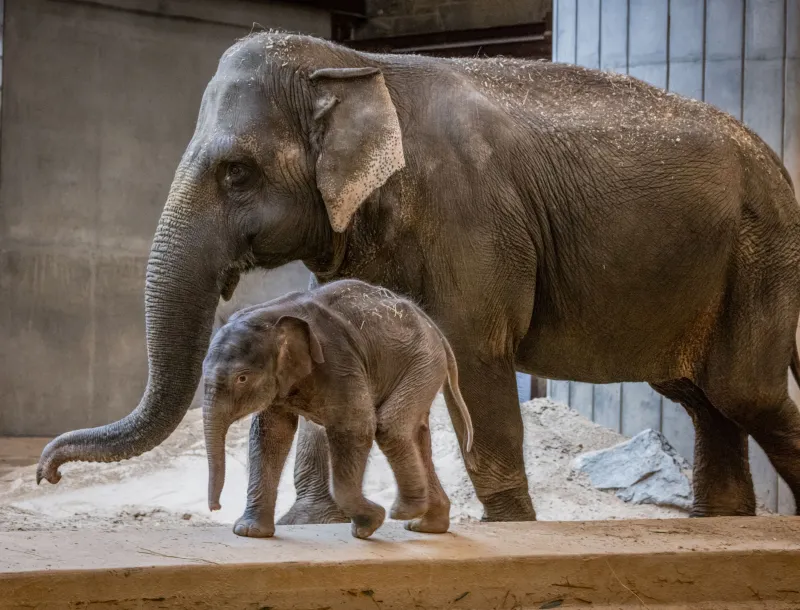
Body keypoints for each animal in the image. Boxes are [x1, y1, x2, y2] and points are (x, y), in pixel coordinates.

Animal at [202, 279, 474, 539]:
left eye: (242, 378)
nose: (215, 507)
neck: (273, 313)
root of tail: (433, 326)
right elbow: (271, 435)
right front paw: (250, 532)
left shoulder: (338, 361)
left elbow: (355, 426)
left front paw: (370, 523)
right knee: (417, 434)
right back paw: (426, 525)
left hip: (423, 362)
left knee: (391, 427)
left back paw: (404, 512)